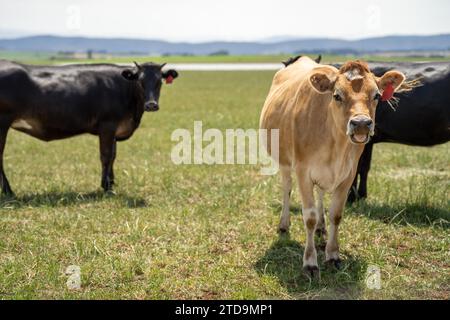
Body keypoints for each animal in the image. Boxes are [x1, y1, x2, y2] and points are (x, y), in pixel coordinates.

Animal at [0, 60, 179, 195]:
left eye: (159, 81)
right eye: (140, 81)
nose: (151, 105)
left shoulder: (114, 130)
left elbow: (113, 156)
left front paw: (112, 182)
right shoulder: (107, 125)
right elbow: (106, 156)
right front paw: (106, 188)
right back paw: (9, 191)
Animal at [258, 56, 406, 276]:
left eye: (377, 95)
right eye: (337, 95)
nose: (361, 123)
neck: (335, 144)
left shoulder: (348, 175)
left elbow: (336, 214)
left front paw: (333, 254)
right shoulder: (303, 172)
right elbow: (309, 217)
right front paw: (310, 262)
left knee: (320, 194)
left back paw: (322, 227)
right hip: (284, 162)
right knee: (287, 189)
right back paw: (284, 225)